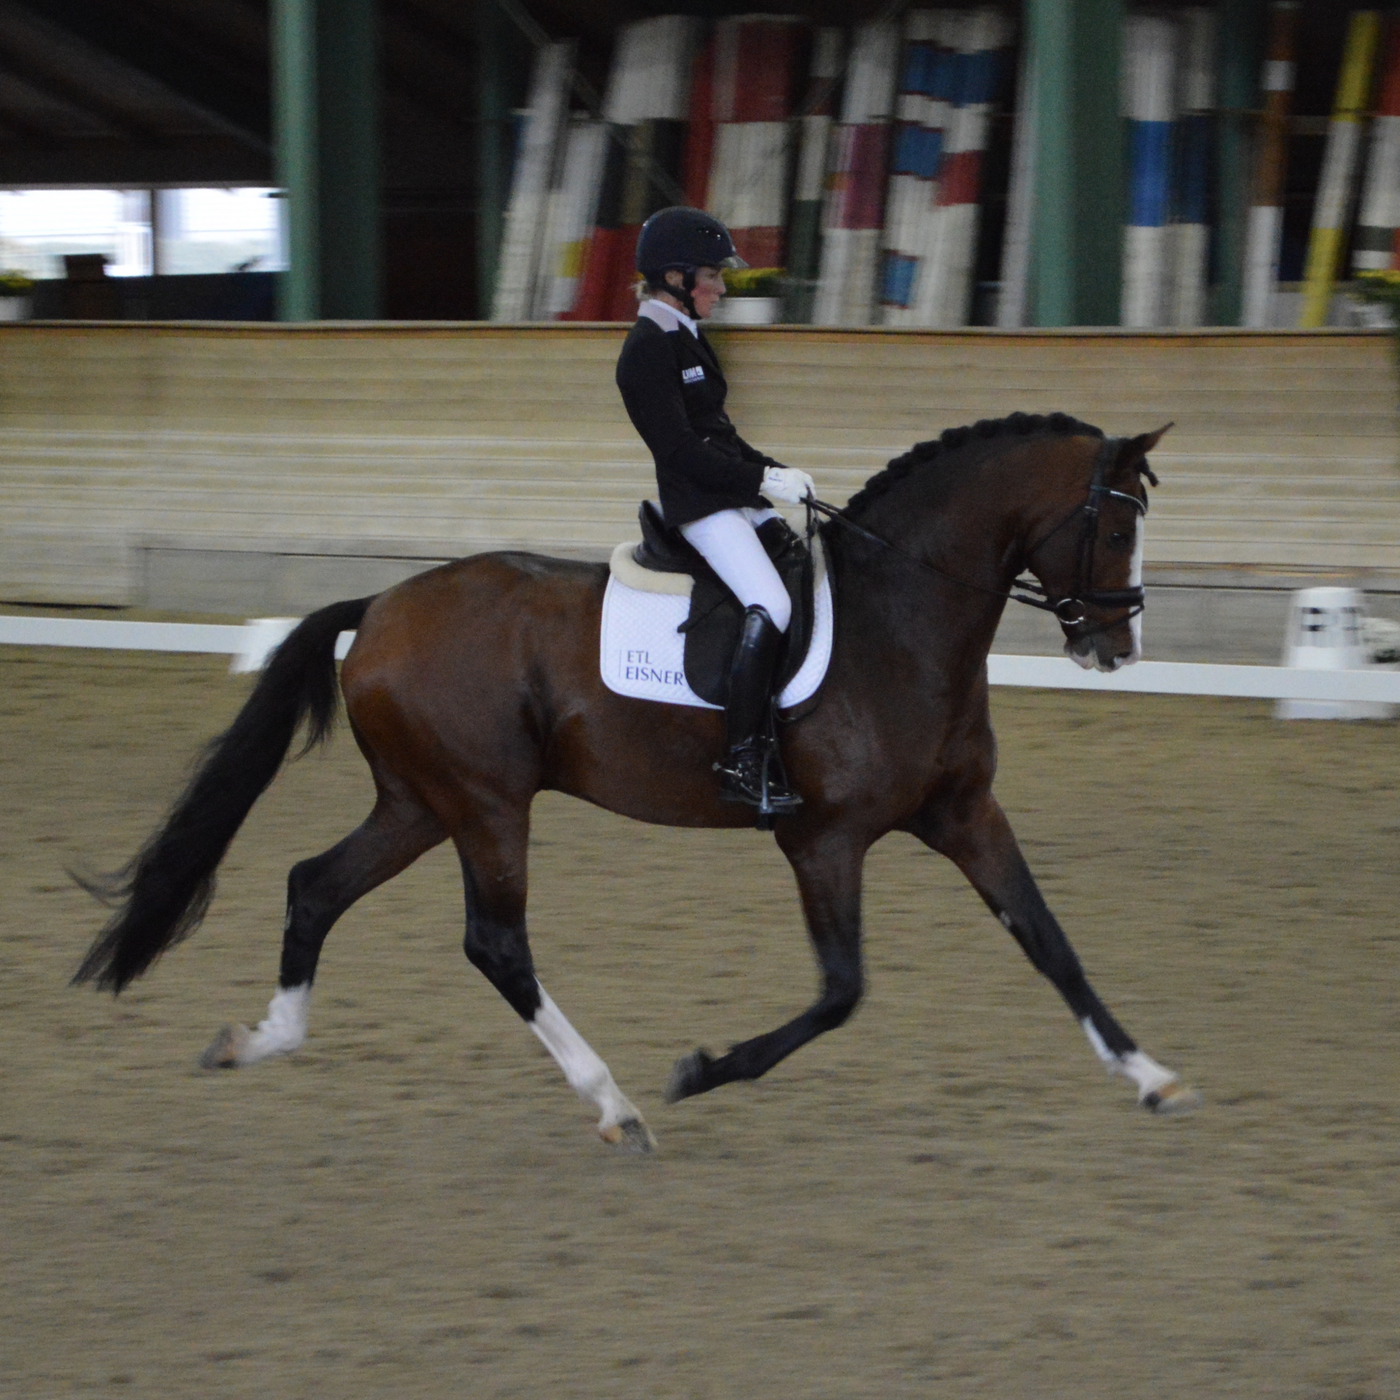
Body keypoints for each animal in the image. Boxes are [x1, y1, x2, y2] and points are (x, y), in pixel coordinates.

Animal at [76, 411, 1198, 1148]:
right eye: (1113, 525)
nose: (1118, 646)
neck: (899, 619)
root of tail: (383, 604)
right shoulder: (823, 839)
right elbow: (841, 991)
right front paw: (702, 1070)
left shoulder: (963, 811)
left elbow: (1048, 942)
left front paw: (1151, 1076)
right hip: (485, 804)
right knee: (495, 943)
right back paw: (612, 1102)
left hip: (420, 803)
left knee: (314, 885)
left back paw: (258, 1041)